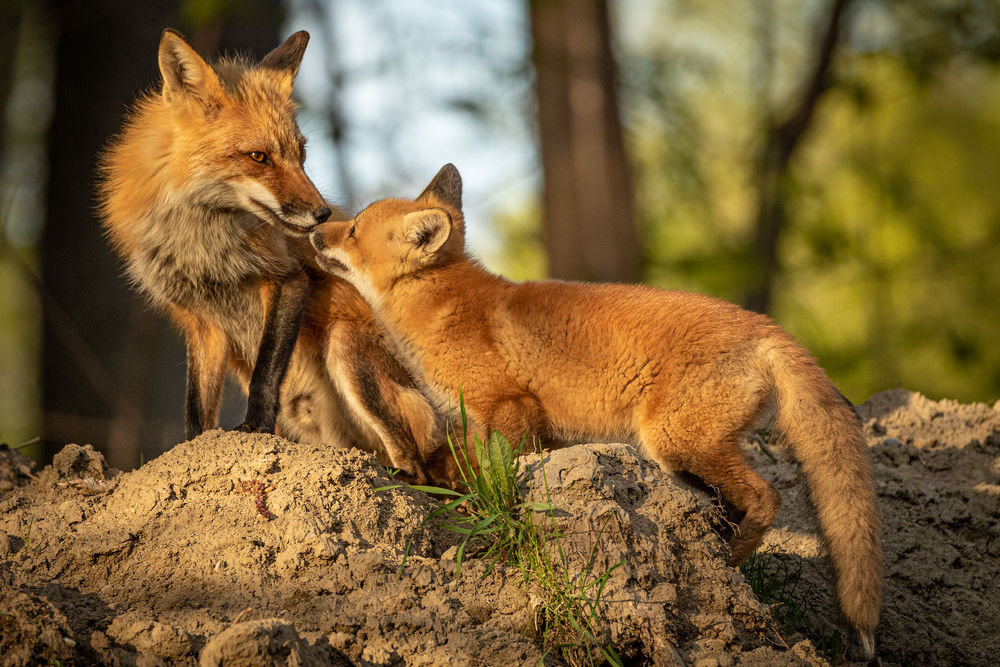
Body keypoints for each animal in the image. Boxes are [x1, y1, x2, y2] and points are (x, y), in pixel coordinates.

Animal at [98, 29, 435, 481]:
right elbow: (196, 406)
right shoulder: (202, 318)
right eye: (259, 156)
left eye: (301, 153)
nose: (322, 215)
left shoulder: (288, 278)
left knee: (420, 468)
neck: (204, 248)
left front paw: (254, 428)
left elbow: (268, 366)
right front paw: (193, 453)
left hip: (346, 345)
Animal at [309, 163, 885, 657]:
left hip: (674, 440)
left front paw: (486, 517)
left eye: (353, 230)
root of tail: (767, 327)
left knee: (768, 496)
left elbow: (497, 481)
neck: (445, 310)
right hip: (684, 455)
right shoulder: (522, 427)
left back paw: (730, 558)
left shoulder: (510, 407)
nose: (316, 229)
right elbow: (480, 472)